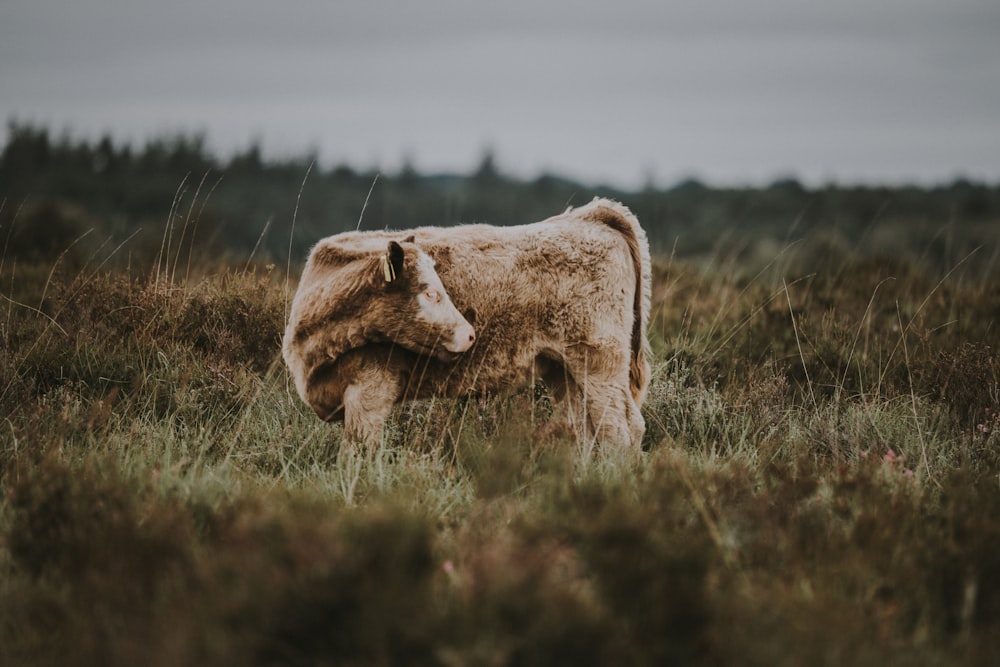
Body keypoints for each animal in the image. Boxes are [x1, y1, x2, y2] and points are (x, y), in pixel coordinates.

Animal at [284, 197, 656, 448]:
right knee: (585, 431)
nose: (469, 335)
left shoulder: (370, 392)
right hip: (564, 369)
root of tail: (588, 216)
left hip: (600, 362)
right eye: (431, 292)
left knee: (621, 430)